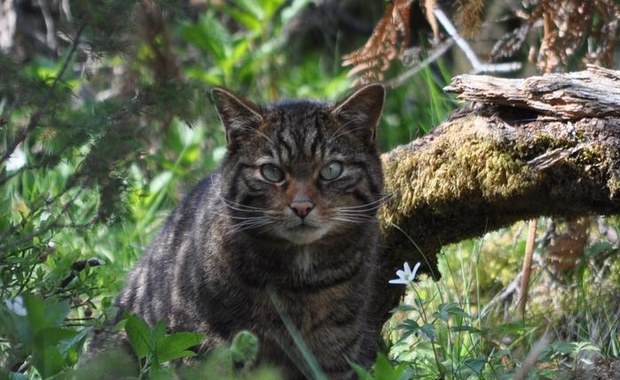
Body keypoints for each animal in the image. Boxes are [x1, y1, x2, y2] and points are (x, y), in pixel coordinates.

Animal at [115, 84, 386, 380]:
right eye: (271, 171)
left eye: (332, 169)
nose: (302, 206)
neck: (302, 284)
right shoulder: (200, 346)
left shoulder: (337, 351)